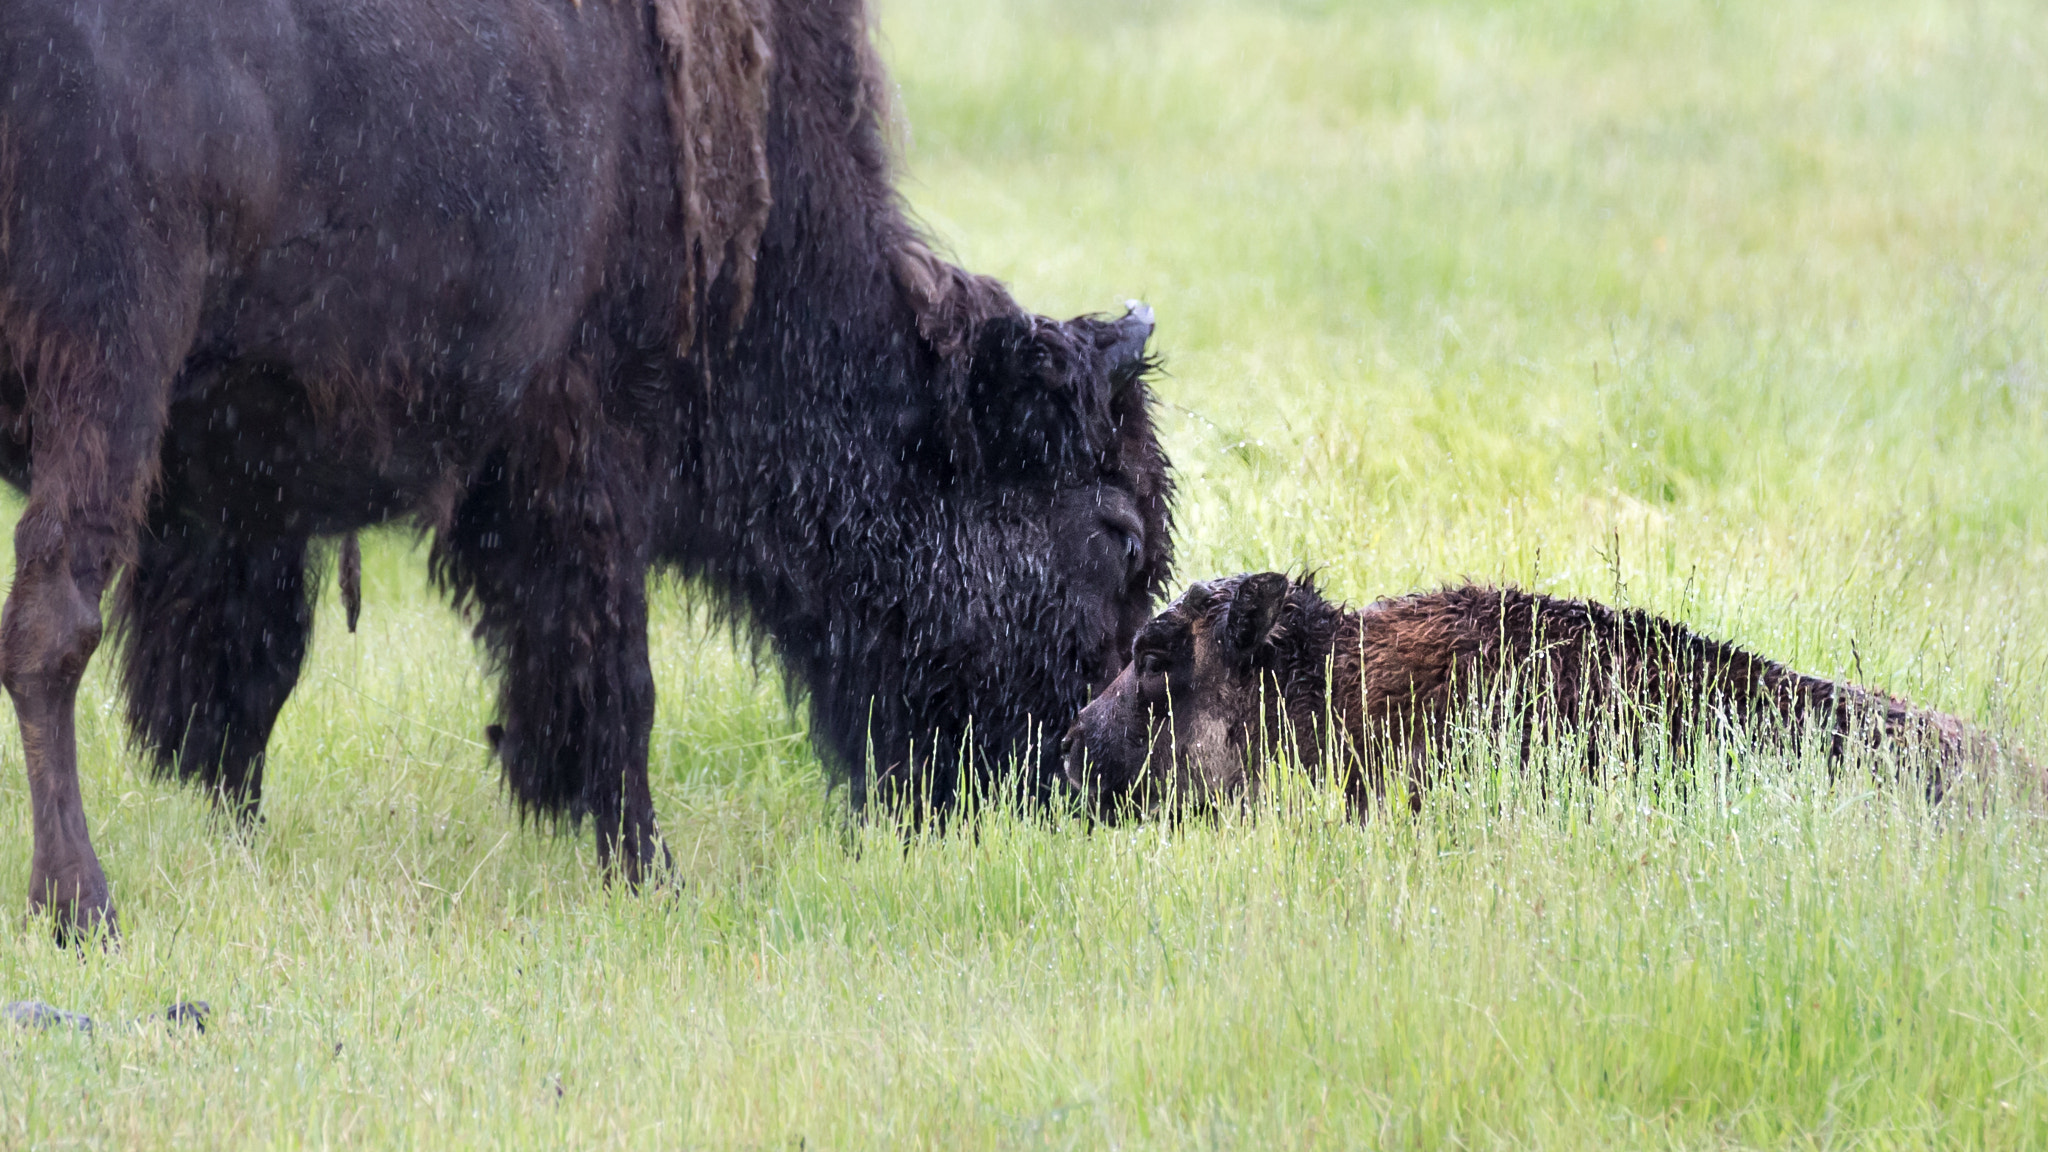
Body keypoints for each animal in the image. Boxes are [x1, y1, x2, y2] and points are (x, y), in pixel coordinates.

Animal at [0, 0, 1174, 941]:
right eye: (1113, 534)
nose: (1082, 790)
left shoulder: (256, 496)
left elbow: (240, 682)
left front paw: (234, 833)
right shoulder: (589, 454)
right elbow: (614, 679)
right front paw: (649, 870)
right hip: (107, 368)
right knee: (50, 629)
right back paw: (80, 904)